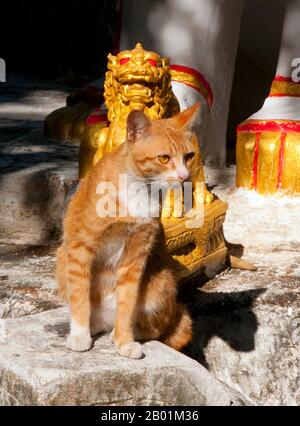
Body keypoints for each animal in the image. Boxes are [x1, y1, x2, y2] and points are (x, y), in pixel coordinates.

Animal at [56, 105, 202, 358]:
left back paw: (119, 333)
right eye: (164, 158)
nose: (184, 177)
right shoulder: (80, 248)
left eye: (189, 156)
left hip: (160, 284)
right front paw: (80, 335)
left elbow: (127, 302)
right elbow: (80, 297)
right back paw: (94, 327)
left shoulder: (135, 255)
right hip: (61, 258)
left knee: (154, 329)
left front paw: (124, 340)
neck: (140, 189)